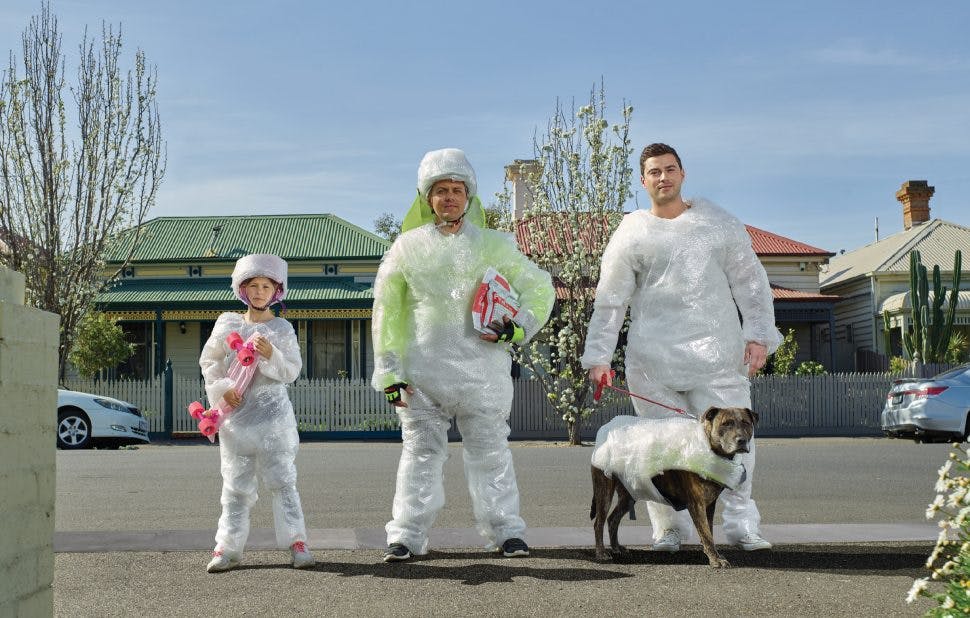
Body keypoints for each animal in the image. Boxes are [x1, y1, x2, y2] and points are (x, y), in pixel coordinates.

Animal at [368, 219, 552, 406]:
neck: (449, 235)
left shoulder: (504, 251)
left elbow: (539, 283)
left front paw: (510, 330)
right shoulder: (397, 256)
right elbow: (387, 308)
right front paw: (392, 386)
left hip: (487, 397)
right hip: (422, 398)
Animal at [584, 200, 780, 388]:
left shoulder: (730, 234)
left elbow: (748, 278)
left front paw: (757, 347)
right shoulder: (621, 249)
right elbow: (612, 301)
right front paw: (598, 369)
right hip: (647, 382)